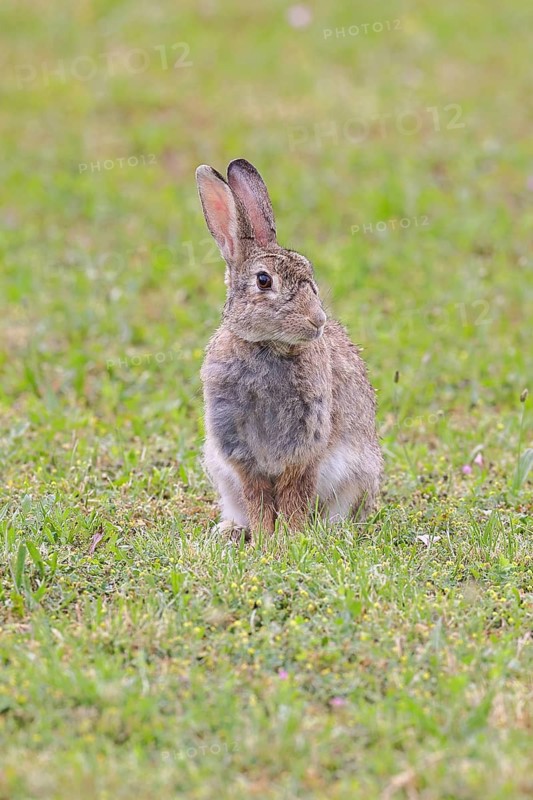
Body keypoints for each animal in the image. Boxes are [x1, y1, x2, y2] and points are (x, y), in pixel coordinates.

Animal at [196, 158, 383, 539]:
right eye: (263, 280)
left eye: (309, 274)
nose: (318, 320)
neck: (267, 346)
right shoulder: (239, 450)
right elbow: (258, 497)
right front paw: (266, 538)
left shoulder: (306, 444)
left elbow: (294, 492)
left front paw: (290, 538)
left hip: (357, 474)